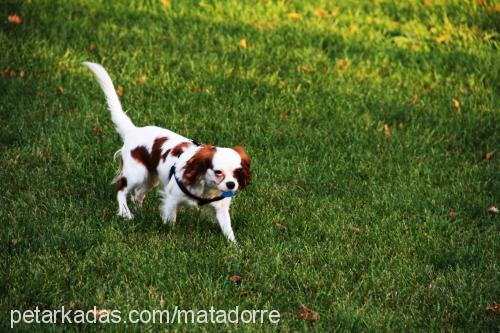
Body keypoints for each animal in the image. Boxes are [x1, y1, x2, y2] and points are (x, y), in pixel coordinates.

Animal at [84, 61, 254, 241]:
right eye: (218, 172)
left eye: (237, 172)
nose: (231, 184)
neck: (205, 186)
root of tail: (133, 130)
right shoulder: (172, 198)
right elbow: (170, 219)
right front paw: (169, 233)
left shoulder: (221, 208)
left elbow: (227, 228)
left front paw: (233, 244)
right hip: (137, 174)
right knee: (121, 191)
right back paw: (126, 213)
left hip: (150, 177)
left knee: (138, 194)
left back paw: (139, 211)